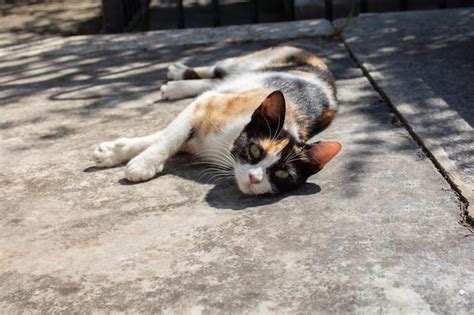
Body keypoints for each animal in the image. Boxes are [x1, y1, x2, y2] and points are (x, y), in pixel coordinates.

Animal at [92, 46, 342, 195]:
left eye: (282, 174)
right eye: (254, 150)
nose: (254, 178)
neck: (226, 148)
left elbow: (166, 136)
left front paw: (118, 152)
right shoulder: (204, 105)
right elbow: (168, 137)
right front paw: (139, 162)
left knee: (214, 81)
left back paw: (176, 85)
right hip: (246, 63)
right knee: (217, 70)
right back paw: (177, 73)